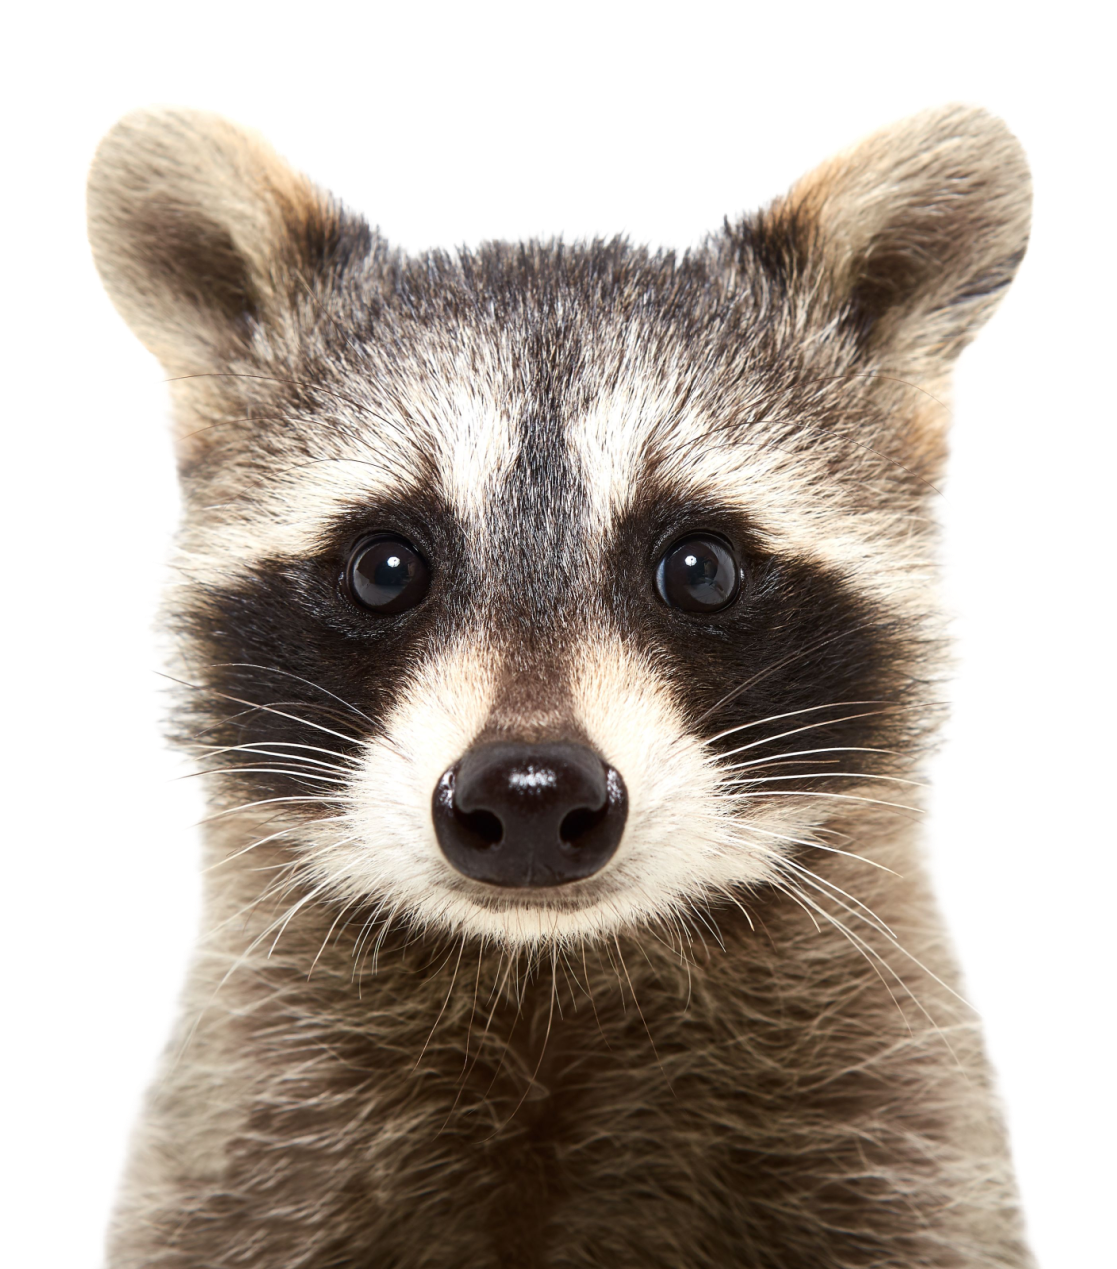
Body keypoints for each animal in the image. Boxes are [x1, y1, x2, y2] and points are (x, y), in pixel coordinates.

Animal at [79, 86, 1048, 1268]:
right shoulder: (239, 1157)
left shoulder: (901, 1148)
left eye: (699, 568)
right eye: (385, 568)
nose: (531, 792)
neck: (548, 972)